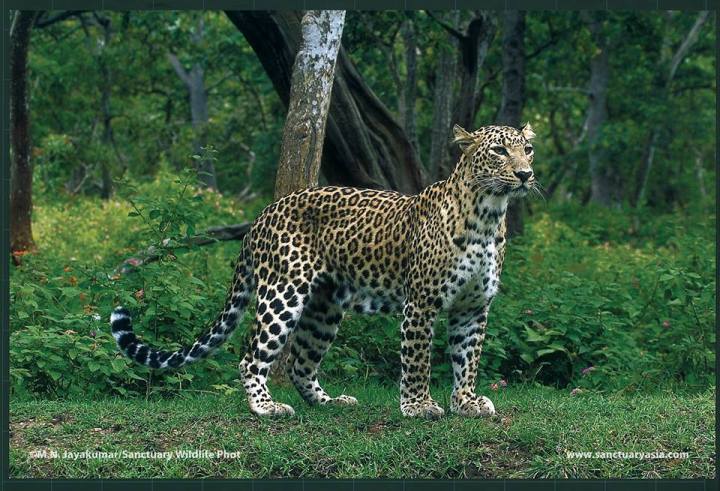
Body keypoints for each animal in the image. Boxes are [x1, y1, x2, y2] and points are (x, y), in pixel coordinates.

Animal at [110, 122, 537, 419]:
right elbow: (417, 360)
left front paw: (466, 403)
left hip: (324, 307)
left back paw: (328, 402)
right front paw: (418, 407)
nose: (525, 175)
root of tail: (262, 215)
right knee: (252, 355)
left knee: (300, 362)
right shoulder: (421, 302)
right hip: (282, 292)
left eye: (528, 150)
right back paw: (265, 407)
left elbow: (468, 359)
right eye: (499, 150)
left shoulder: (473, 307)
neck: (488, 216)